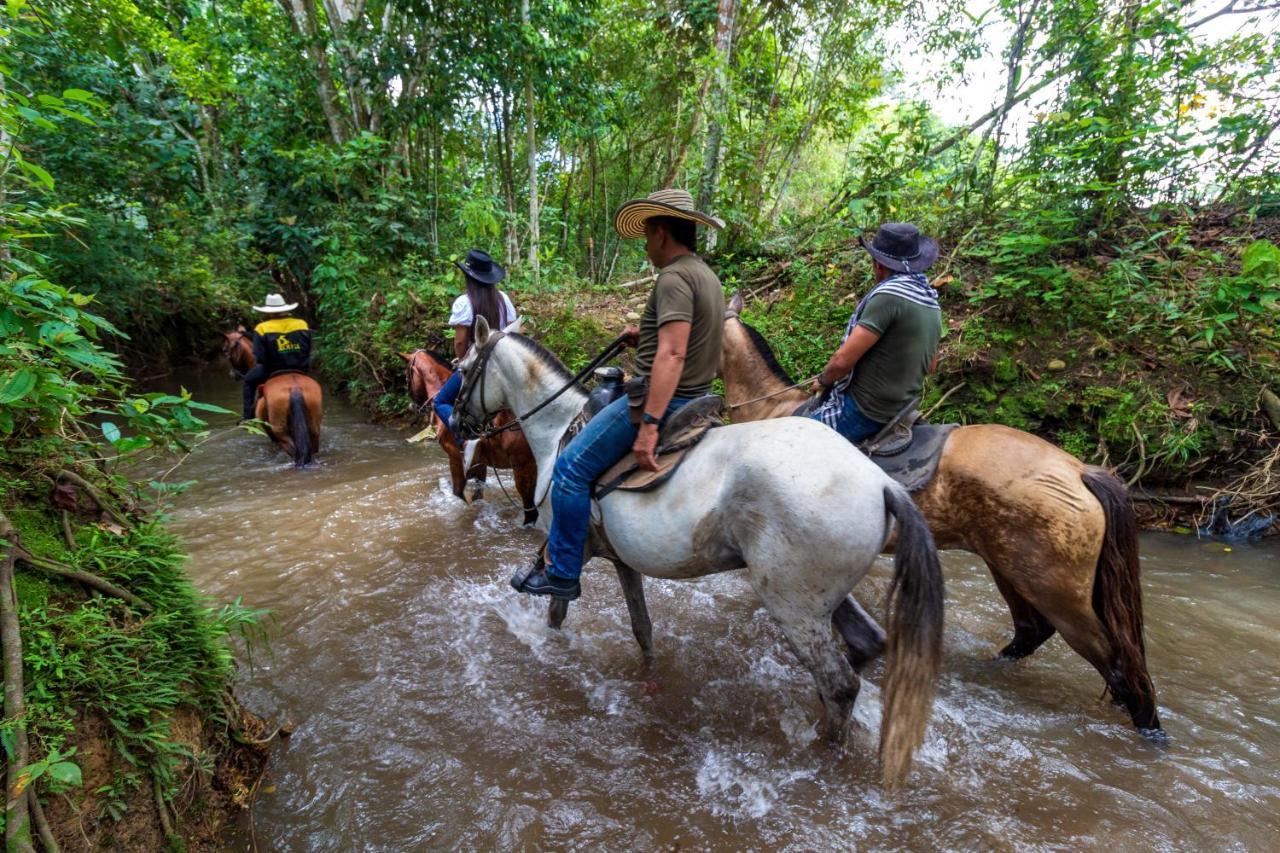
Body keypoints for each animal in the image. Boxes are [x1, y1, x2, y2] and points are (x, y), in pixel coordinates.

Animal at [401, 348, 537, 525]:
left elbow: (458, 493)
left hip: (524, 468)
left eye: (406, 377)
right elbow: (478, 493)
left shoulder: (455, 457)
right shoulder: (480, 463)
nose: (412, 406)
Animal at [455, 313, 947, 783]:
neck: (558, 432)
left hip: (794, 607)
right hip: (818, 596)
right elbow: (642, 629)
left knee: (839, 683)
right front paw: (649, 676)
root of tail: (881, 483)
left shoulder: (567, 547)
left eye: (461, 370)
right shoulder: (621, 561)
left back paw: (826, 755)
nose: (455, 422)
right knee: (865, 645)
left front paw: (551, 644)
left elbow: (557, 607)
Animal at [721, 289, 1162, 732]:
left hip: (1057, 591)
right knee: (1032, 631)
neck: (772, 413)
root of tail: (1079, 470)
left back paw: (1149, 731)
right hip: (1008, 567)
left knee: (1116, 663)